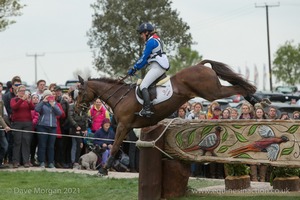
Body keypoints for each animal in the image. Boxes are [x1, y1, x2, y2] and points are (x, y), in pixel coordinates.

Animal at [76, 58, 256, 174]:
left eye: (80, 92)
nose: (77, 110)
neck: (120, 96)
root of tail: (200, 66)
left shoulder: (123, 126)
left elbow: (114, 146)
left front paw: (103, 170)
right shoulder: (128, 127)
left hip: (212, 92)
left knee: (238, 88)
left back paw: (254, 98)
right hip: (211, 92)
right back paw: (254, 99)